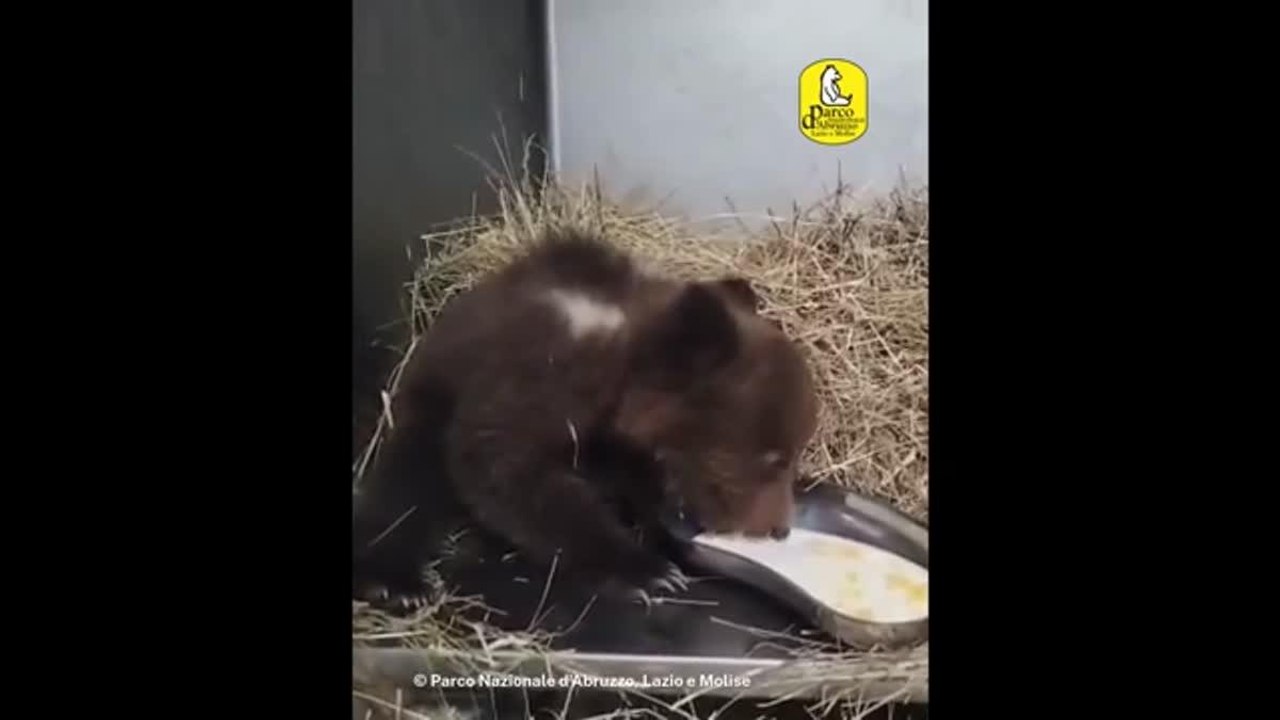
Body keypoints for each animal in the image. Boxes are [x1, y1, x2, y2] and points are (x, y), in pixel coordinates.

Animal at [352, 230, 819, 607]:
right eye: (772, 458)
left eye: (795, 451)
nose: (779, 528)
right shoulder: (536, 378)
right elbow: (507, 472)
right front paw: (648, 571)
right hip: (433, 399)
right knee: (408, 482)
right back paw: (396, 582)